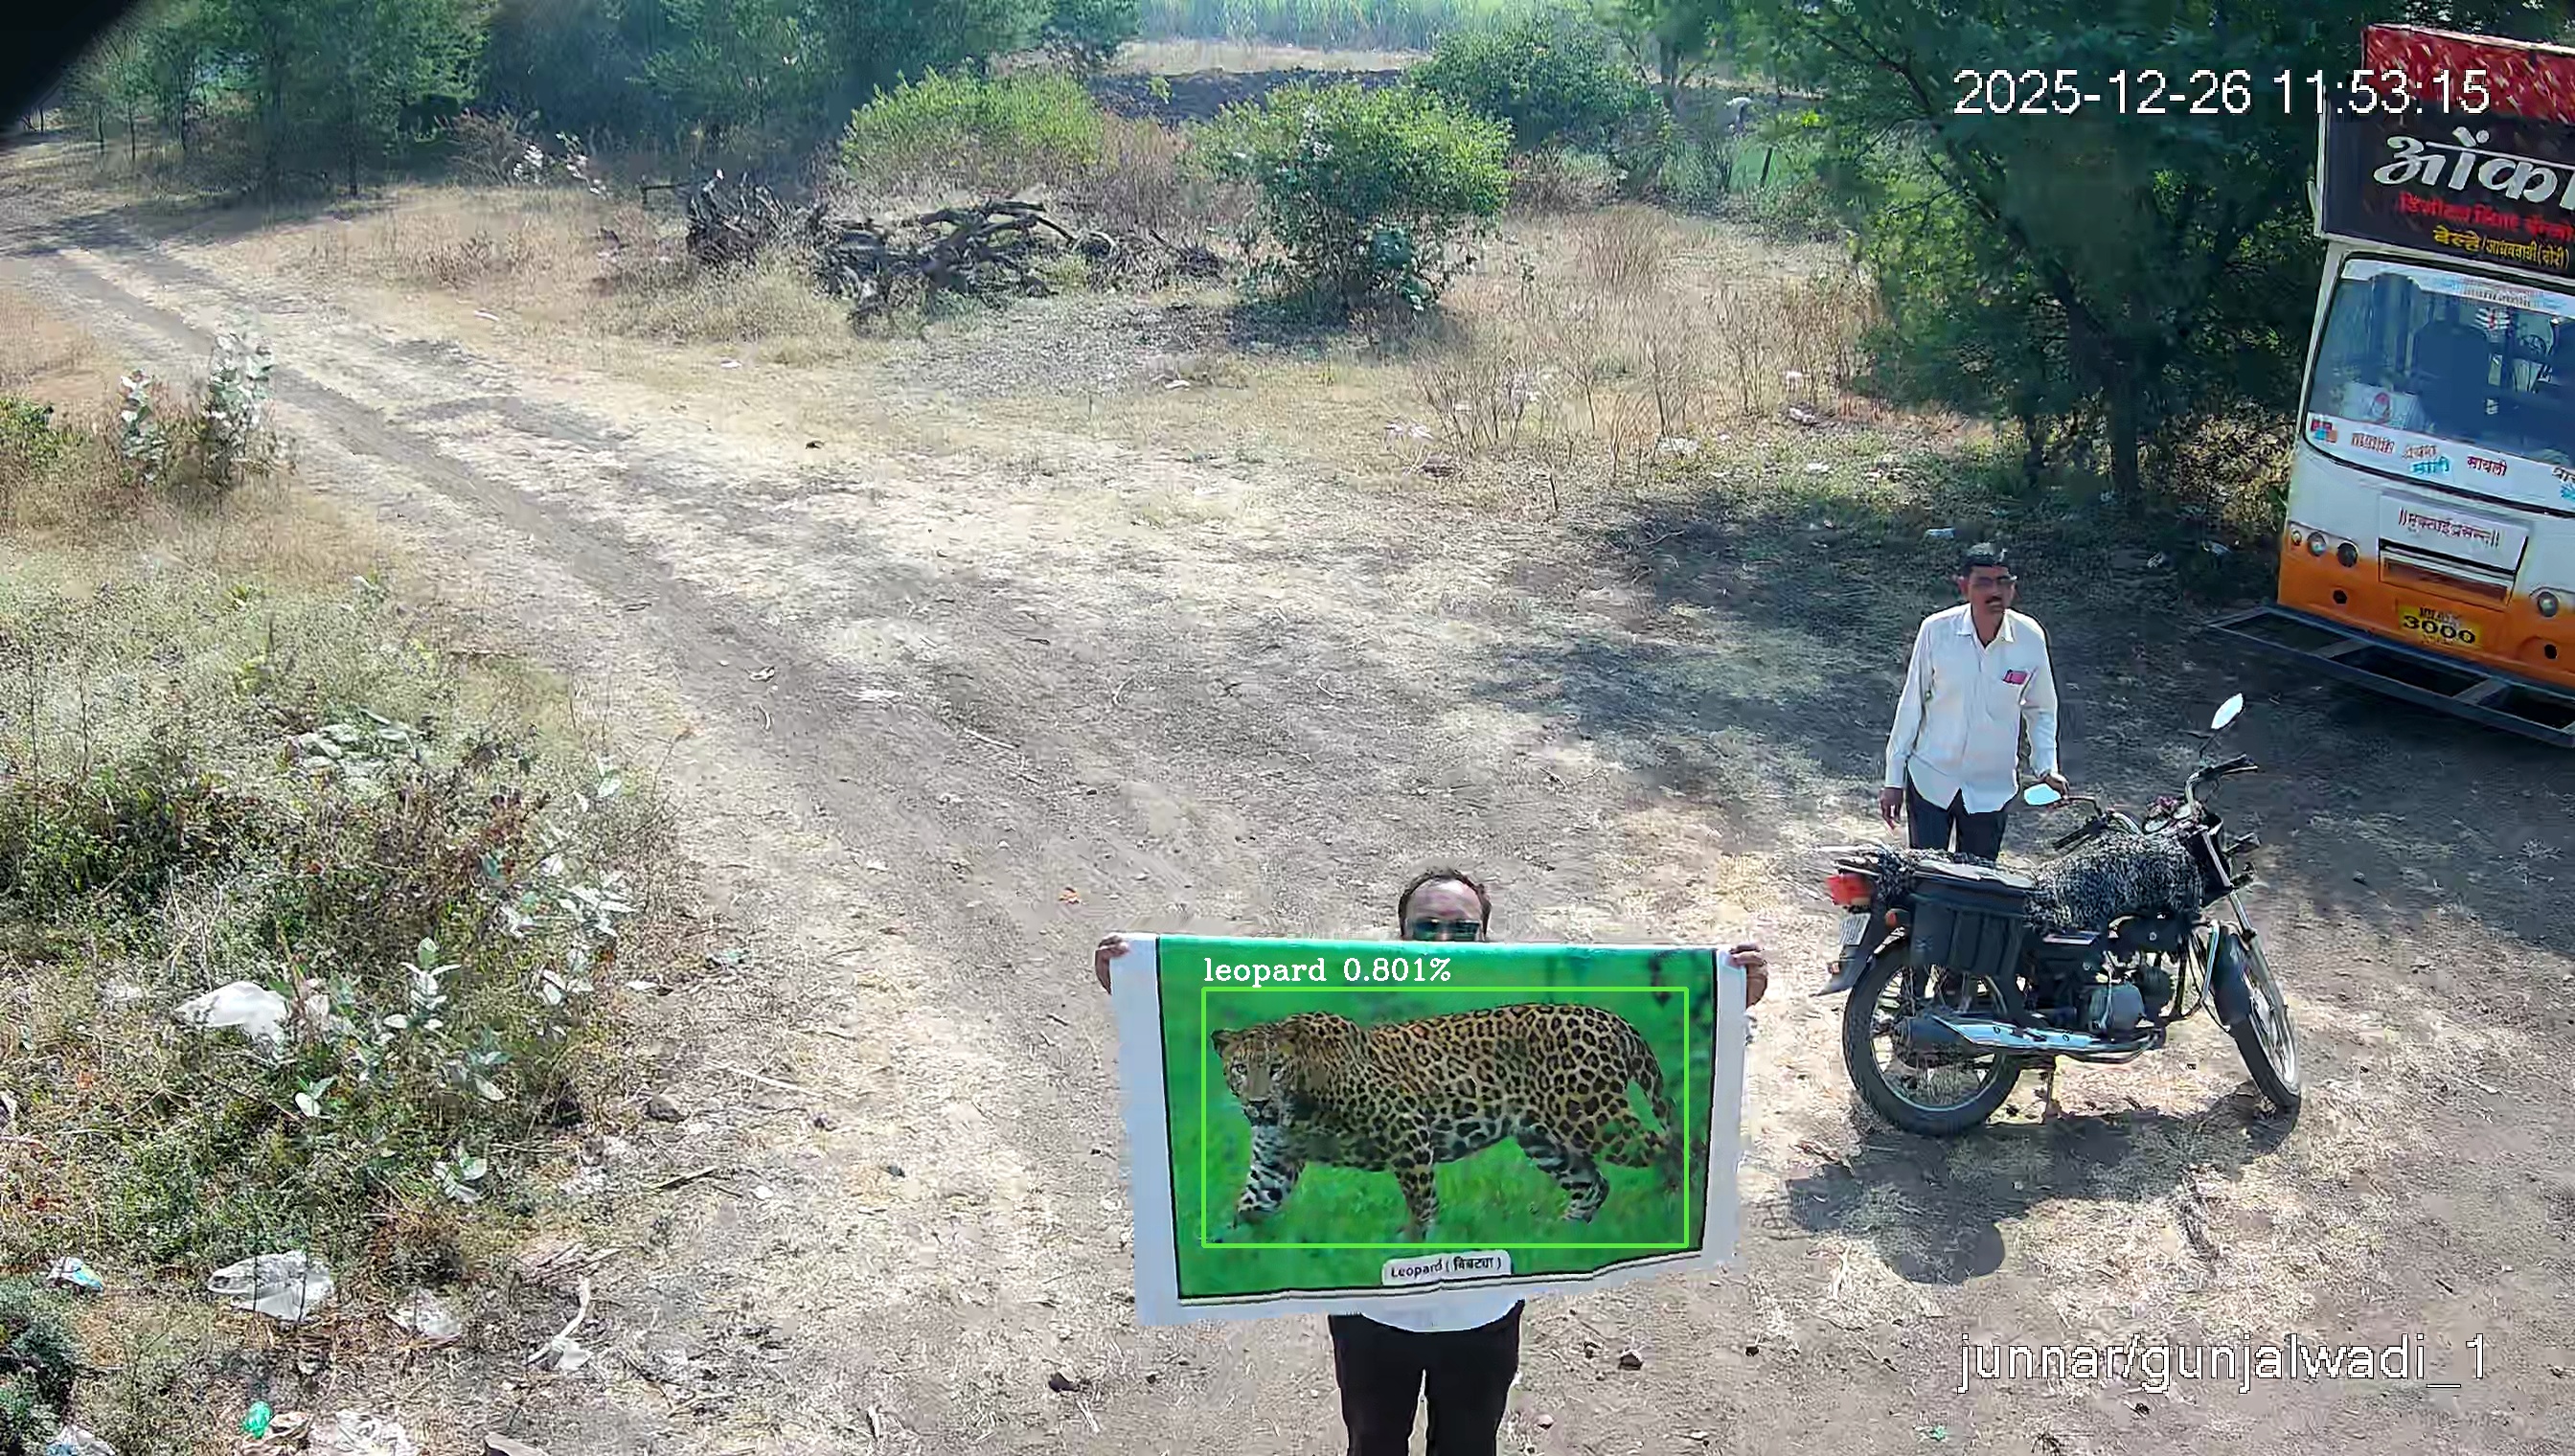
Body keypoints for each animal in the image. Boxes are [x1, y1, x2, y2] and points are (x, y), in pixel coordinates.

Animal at [1209, 1001, 1681, 1241]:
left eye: (1275, 1068)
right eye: (1239, 1069)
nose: (1258, 1104)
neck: (1296, 1108)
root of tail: (1611, 1018)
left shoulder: (1406, 1128)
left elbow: (1421, 1201)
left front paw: (1414, 1248)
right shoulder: (1273, 1163)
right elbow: (1248, 1208)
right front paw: (1222, 1255)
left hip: (1595, 1117)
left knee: (1672, 1145)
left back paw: (1673, 1207)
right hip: (1544, 1138)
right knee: (1593, 1183)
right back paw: (1558, 1240)